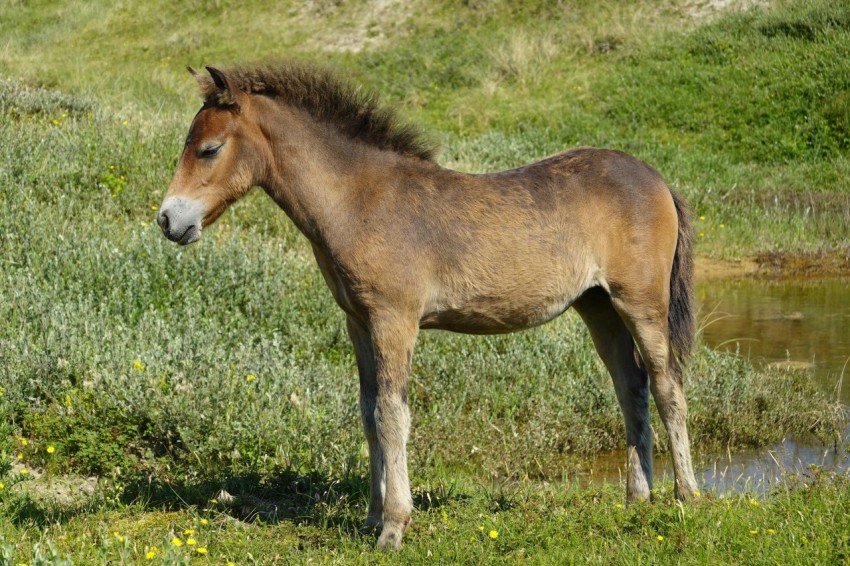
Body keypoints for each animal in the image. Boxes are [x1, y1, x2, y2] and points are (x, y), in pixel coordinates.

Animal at [157, 62, 699, 550]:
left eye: (209, 149)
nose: (167, 220)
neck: (360, 200)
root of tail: (658, 179)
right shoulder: (358, 322)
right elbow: (368, 411)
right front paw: (372, 515)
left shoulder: (394, 318)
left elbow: (392, 414)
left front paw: (394, 528)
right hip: (598, 306)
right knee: (630, 385)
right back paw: (637, 498)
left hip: (640, 303)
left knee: (666, 384)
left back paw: (687, 496)